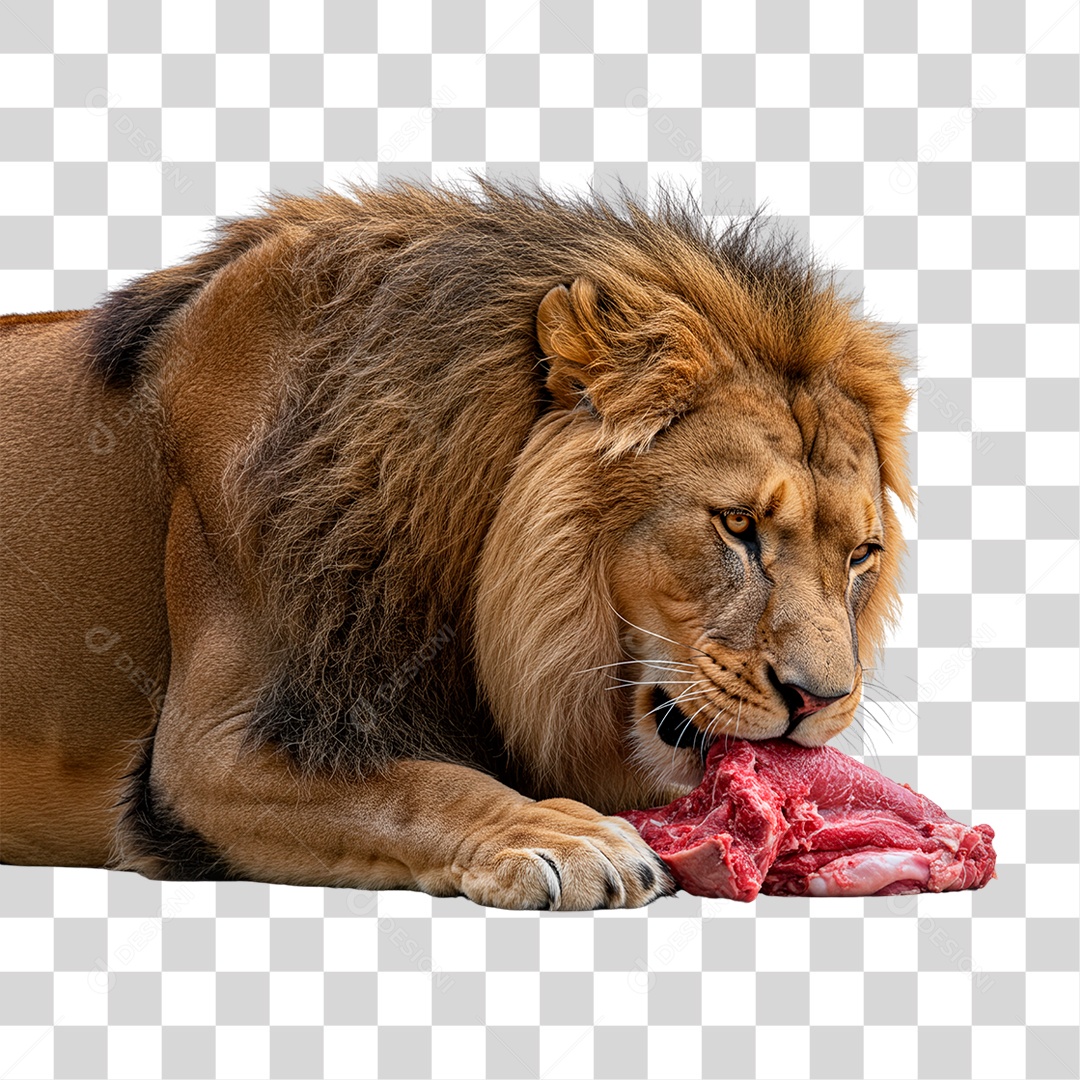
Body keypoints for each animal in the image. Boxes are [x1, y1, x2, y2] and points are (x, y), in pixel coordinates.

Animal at [0, 180, 913, 909]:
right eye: (737, 525)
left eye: (860, 556)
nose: (819, 701)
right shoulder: (208, 754)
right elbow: (416, 787)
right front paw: (564, 836)